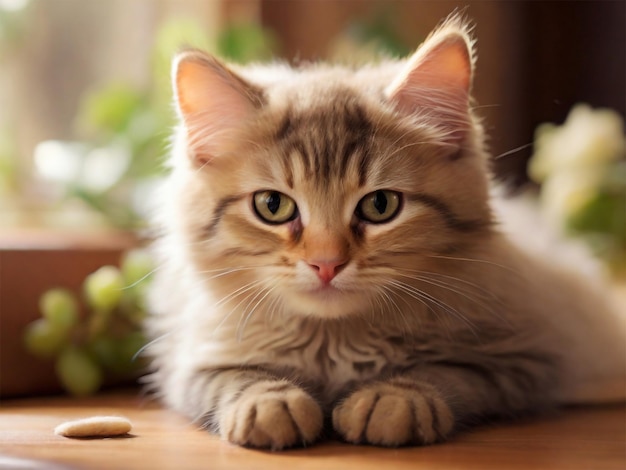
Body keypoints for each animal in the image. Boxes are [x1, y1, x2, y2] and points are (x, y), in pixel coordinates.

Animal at [143, 13, 624, 448]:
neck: (333, 341)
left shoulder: (525, 360)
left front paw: (394, 400)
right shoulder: (189, 362)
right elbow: (235, 378)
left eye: (380, 206)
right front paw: (269, 403)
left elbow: (444, 372)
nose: (326, 264)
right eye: (273, 206)